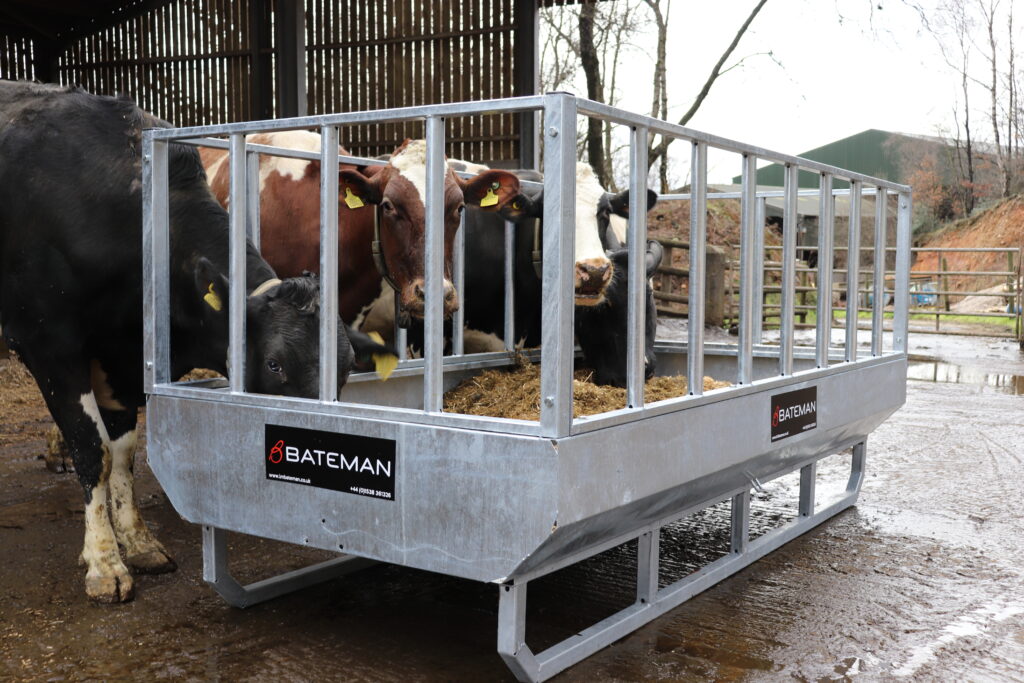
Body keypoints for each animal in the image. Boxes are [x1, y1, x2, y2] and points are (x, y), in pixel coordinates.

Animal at [0, 81, 391, 602]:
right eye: (274, 365)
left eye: (345, 369)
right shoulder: (48, 341)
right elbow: (94, 450)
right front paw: (104, 562)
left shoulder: (122, 354)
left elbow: (123, 452)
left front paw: (138, 542)